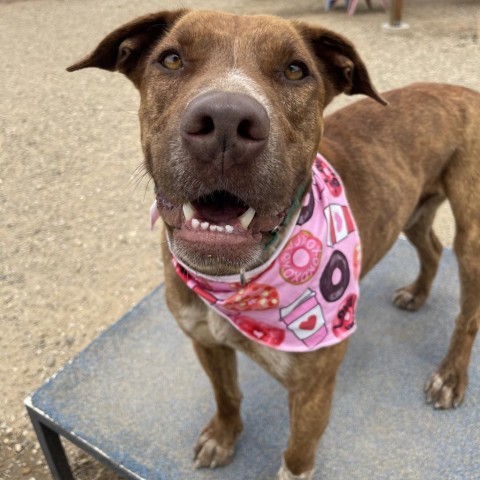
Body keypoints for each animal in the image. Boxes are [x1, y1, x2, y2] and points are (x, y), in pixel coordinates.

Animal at [67, 8, 480, 480]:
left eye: (296, 70)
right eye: (171, 59)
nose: (226, 121)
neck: (238, 284)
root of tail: (465, 89)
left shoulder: (313, 387)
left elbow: (297, 454)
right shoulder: (206, 342)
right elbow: (226, 394)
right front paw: (224, 435)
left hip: (471, 239)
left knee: (468, 314)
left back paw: (450, 377)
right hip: (413, 208)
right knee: (431, 247)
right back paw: (417, 293)